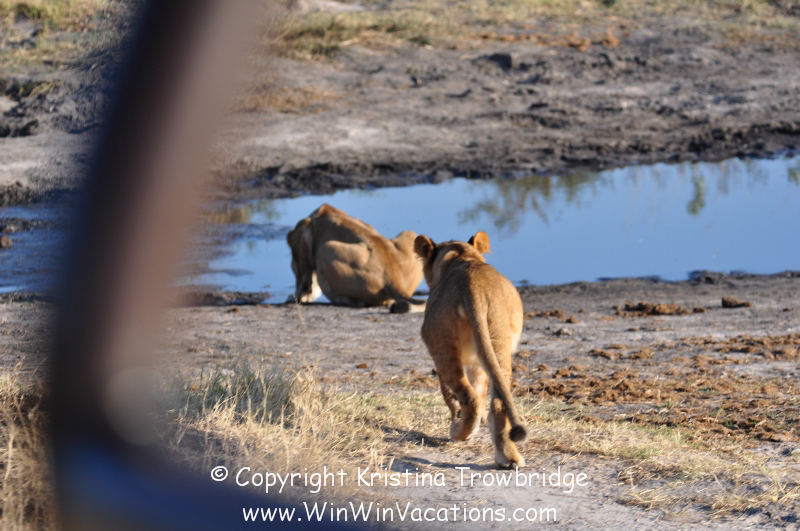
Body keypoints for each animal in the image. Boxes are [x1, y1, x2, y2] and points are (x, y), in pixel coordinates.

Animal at [414, 231, 527, 468]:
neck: (461, 256)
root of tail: (472, 286)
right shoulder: (480, 360)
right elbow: (481, 388)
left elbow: (450, 396)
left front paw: (455, 416)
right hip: (498, 340)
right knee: (498, 403)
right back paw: (508, 458)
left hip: (440, 344)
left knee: (469, 399)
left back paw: (459, 432)